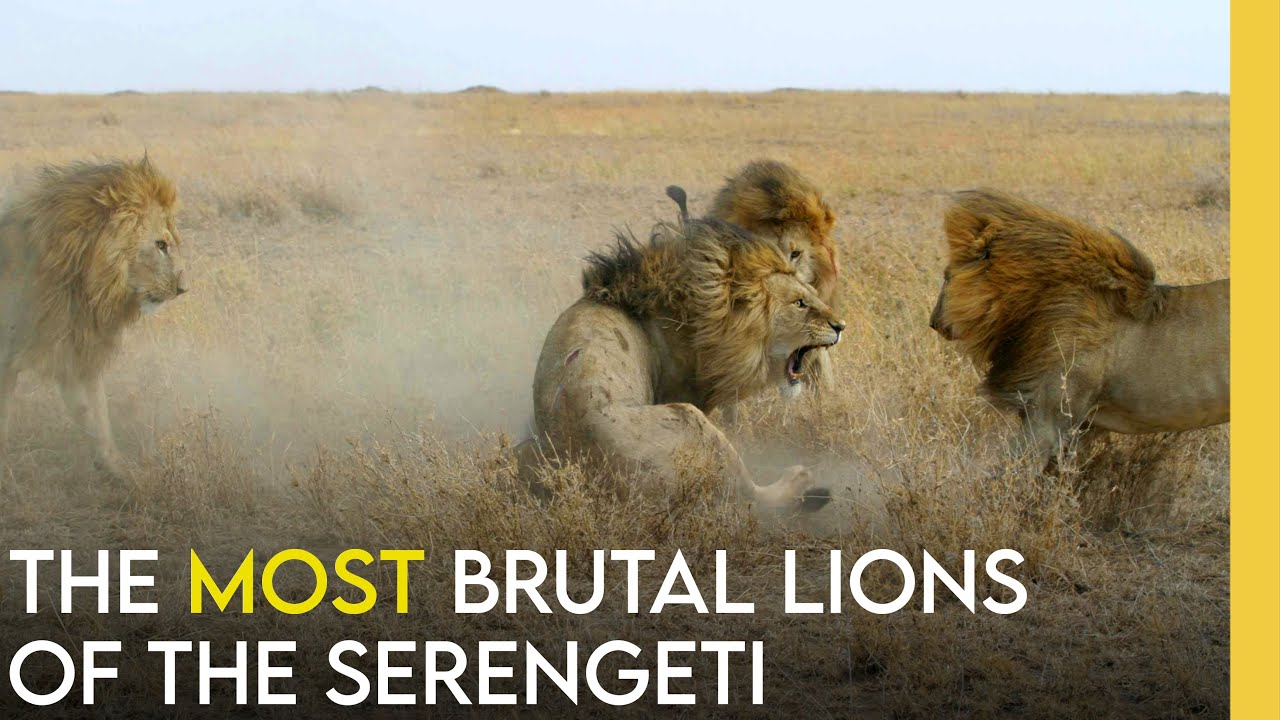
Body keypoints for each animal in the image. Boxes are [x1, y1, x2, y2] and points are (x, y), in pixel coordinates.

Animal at [517, 218, 846, 510]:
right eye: (800, 303)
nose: (841, 326)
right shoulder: (685, 395)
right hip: (690, 420)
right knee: (749, 494)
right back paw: (801, 479)